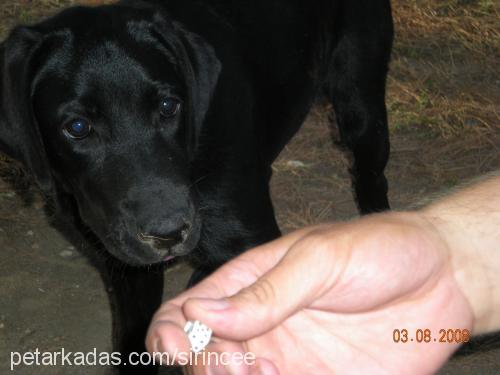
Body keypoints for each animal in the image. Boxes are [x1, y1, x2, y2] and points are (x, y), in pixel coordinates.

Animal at [0, 0, 392, 374]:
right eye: (78, 127)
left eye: (169, 106)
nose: (169, 233)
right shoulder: (126, 268)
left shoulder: (250, 241)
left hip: (360, 103)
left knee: (371, 177)